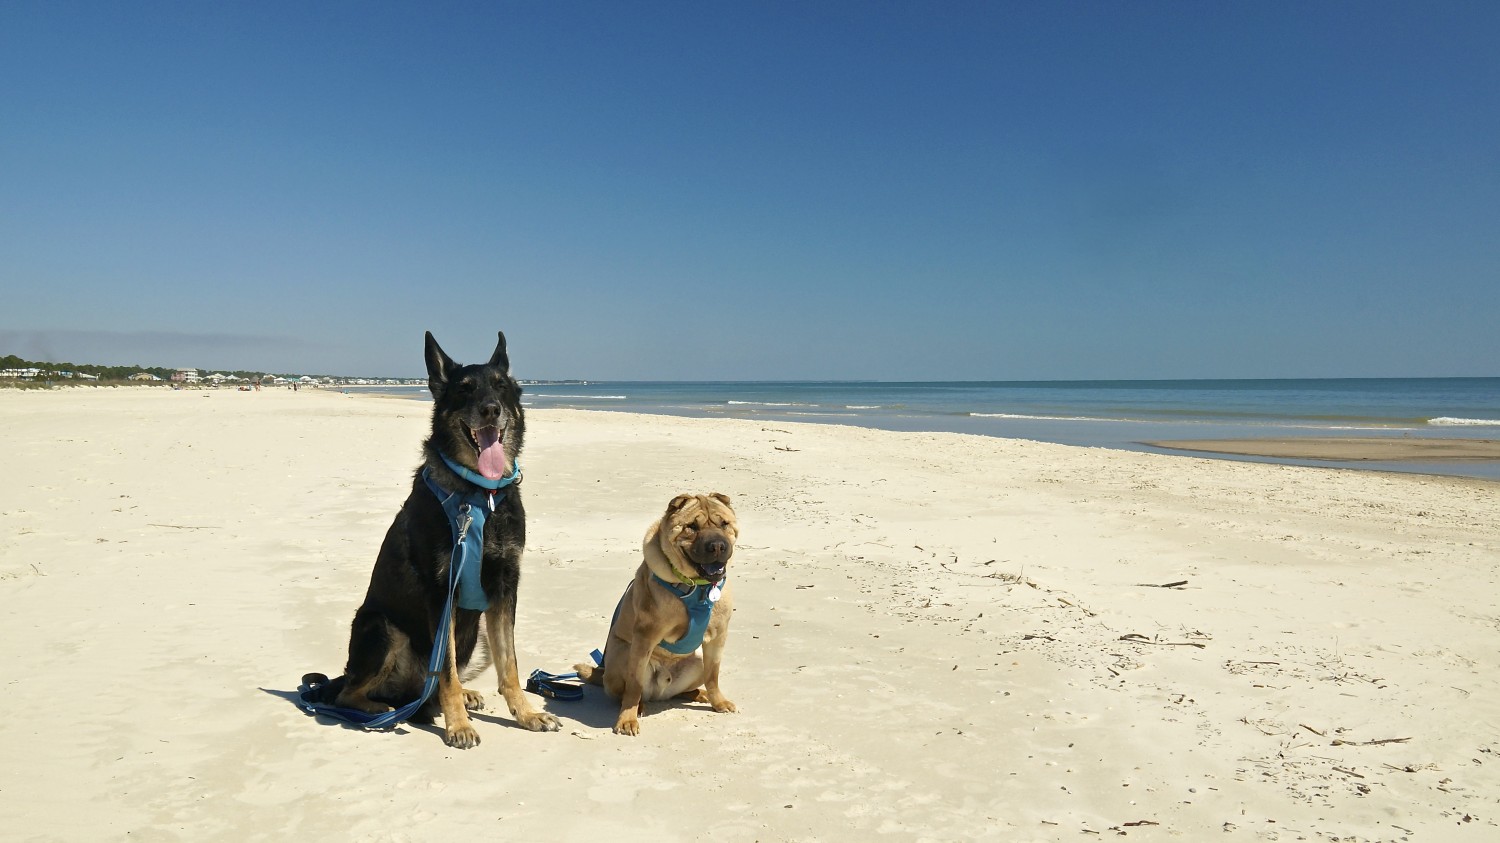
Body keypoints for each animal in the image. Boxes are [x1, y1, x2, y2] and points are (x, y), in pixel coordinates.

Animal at [301, 331, 561, 744]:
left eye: (500, 387)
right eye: (465, 389)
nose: (490, 410)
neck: (478, 495)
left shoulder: (505, 588)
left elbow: (510, 665)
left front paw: (526, 713)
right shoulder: (442, 594)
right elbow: (448, 670)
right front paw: (459, 725)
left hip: (478, 634)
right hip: (383, 627)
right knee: (350, 692)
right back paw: (379, 708)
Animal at [573, 489, 738, 732]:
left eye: (724, 523)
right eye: (692, 527)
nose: (717, 545)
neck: (697, 586)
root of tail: (661, 690)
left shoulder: (718, 637)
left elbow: (713, 675)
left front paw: (718, 701)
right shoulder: (644, 637)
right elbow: (633, 686)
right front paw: (627, 719)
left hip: (697, 659)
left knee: (686, 688)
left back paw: (699, 693)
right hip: (624, 654)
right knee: (631, 691)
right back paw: (638, 706)